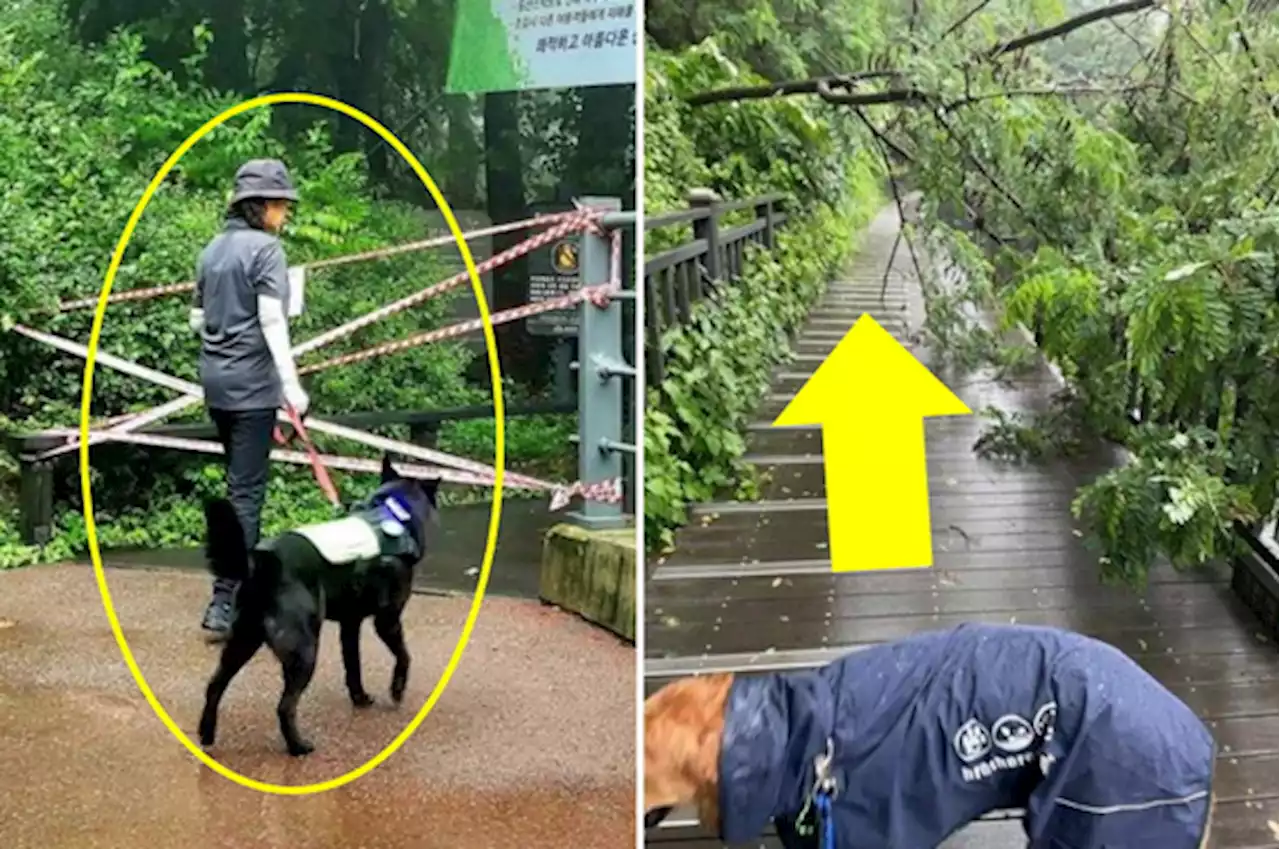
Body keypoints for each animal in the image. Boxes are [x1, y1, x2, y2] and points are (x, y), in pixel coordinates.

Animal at [197, 455, 437, 758]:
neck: (391, 512)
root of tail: (263, 561)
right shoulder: (388, 619)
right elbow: (404, 656)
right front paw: (397, 689)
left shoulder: (350, 625)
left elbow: (353, 666)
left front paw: (360, 698)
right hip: (304, 650)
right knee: (284, 706)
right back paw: (298, 746)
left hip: (242, 642)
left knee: (214, 686)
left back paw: (206, 734)